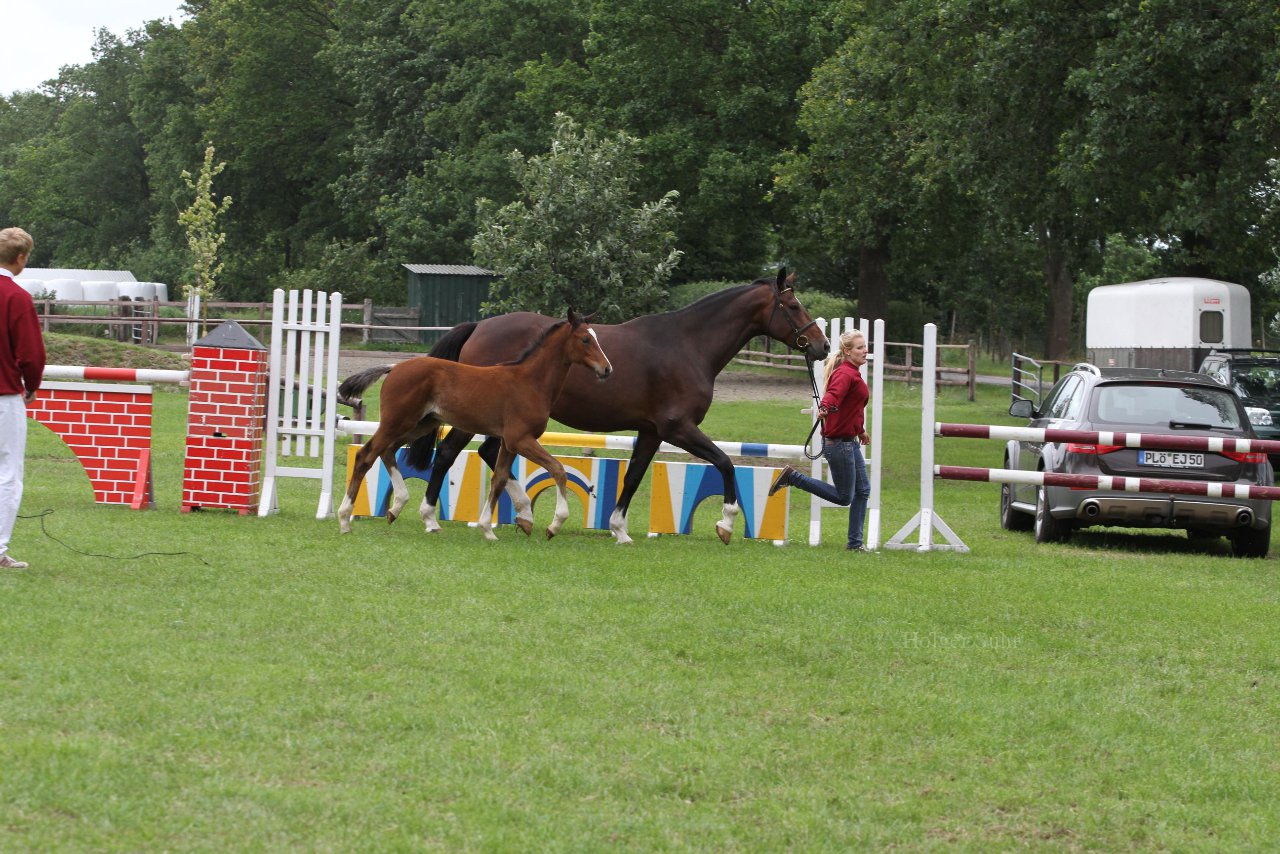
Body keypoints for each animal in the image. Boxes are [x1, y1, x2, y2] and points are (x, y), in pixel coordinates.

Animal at [337, 311, 611, 540]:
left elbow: (500, 478)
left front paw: (488, 528)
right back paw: (345, 519)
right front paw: (554, 525)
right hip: (396, 422)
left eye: (597, 338)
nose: (607, 369)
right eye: (585, 339)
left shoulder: (509, 442)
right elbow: (558, 469)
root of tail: (394, 367)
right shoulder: (520, 439)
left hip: (418, 425)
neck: (530, 382)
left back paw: (397, 507)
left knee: (388, 451)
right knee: (365, 455)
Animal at [407, 270, 829, 545]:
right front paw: (726, 523)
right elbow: (725, 463)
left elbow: (635, 475)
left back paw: (524, 513)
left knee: (490, 453)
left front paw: (619, 528)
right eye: (793, 305)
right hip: (476, 417)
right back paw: (430, 517)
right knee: (449, 453)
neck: (688, 344)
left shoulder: (652, 431)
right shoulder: (678, 427)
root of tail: (478, 326)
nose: (822, 346)